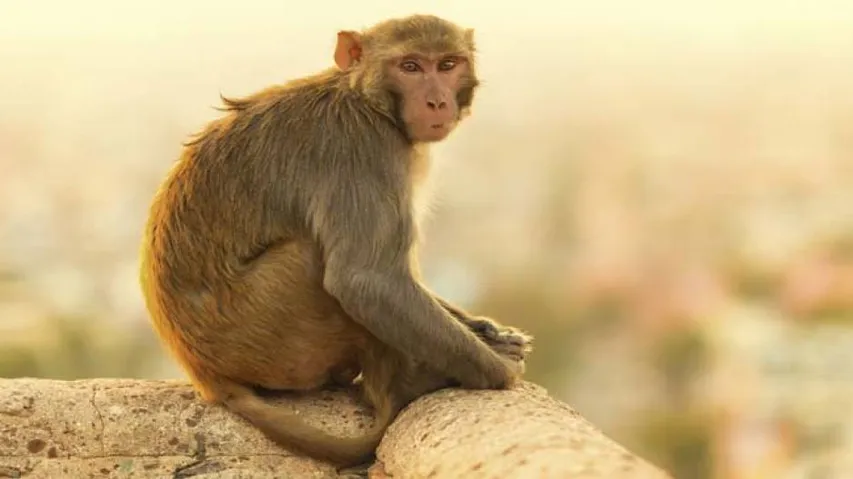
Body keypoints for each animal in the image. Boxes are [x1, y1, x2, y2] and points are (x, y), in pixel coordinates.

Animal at [139, 14, 533, 469]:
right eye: (411, 67)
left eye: (448, 65)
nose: (436, 101)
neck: (368, 102)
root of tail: (207, 377)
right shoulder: (363, 152)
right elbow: (367, 280)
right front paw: (500, 372)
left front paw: (486, 330)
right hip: (272, 335)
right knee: (315, 260)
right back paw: (404, 384)